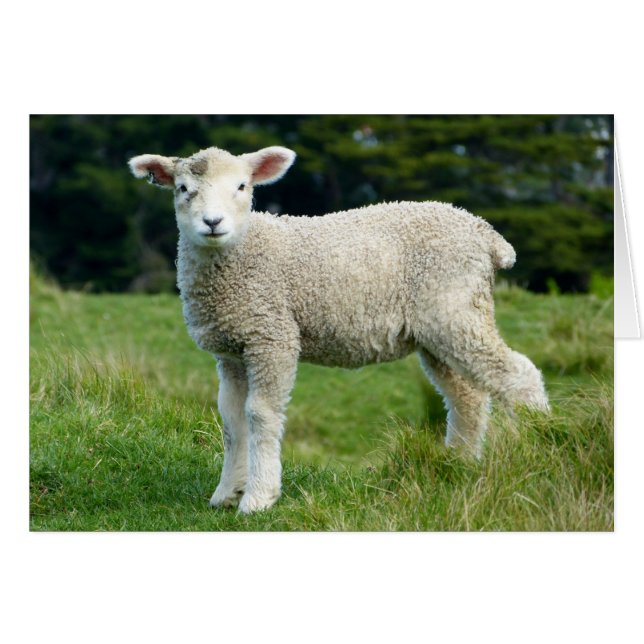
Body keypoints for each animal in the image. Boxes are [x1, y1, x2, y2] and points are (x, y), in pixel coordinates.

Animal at [128, 145, 549, 514]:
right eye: (184, 189)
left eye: (242, 186)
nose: (212, 223)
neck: (244, 253)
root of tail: (487, 234)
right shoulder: (232, 348)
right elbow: (232, 420)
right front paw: (226, 493)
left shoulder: (272, 336)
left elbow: (260, 414)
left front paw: (258, 497)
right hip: (439, 327)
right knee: (467, 397)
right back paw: (457, 466)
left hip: (455, 309)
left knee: (518, 374)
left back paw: (539, 447)